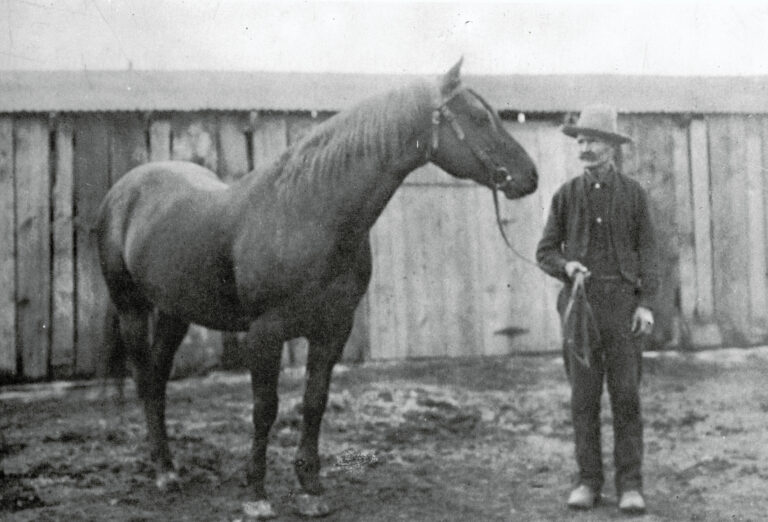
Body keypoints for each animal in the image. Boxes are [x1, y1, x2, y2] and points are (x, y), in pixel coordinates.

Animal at [95, 58, 537, 519]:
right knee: (145, 379)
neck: (310, 213)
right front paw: (257, 493)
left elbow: (314, 402)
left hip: (174, 311)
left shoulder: (333, 328)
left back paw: (170, 466)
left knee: (159, 379)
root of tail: (126, 188)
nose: (530, 177)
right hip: (131, 308)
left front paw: (310, 488)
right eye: (479, 118)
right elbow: (265, 408)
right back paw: (164, 472)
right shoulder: (265, 333)